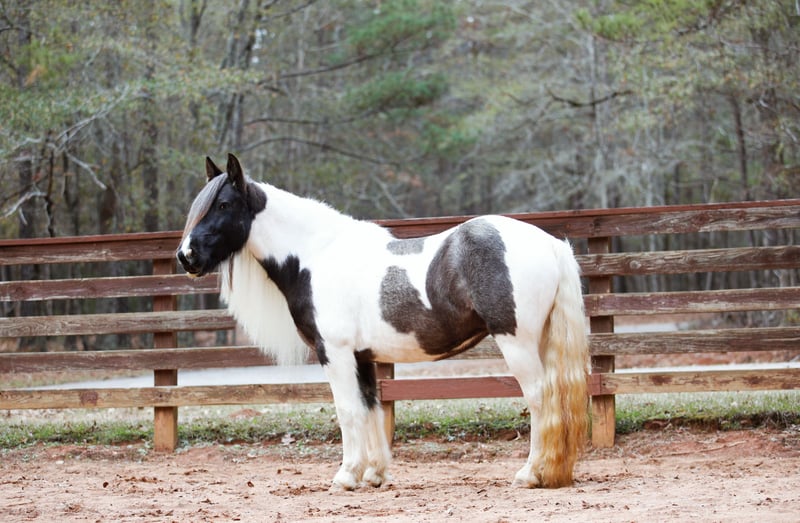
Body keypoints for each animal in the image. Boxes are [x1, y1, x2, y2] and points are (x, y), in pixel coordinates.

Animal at [177, 154, 589, 490]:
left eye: (224, 203)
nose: (186, 256)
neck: (317, 255)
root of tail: (551, 244)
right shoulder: (362, 358)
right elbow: (370, 408)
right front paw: (373, 474)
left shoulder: (335, 353)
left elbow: (347, 411)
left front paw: (346, 476)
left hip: (516, 341)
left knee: (539, 397)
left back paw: (531, 473)